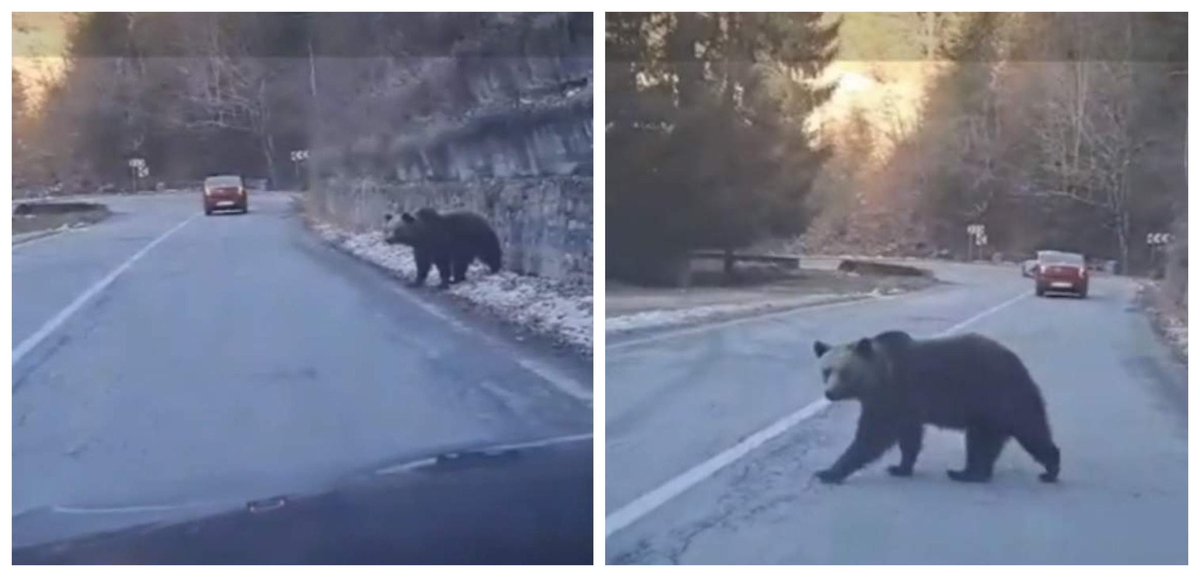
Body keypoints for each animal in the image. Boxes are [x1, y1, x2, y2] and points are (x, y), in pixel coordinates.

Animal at [811, 330, 1060, 485]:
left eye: (844, 372)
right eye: (826, 371)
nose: (830, 393)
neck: (880, 376)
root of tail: (1020, 364)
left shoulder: (893, 395)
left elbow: (872, 436)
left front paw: (828, 472)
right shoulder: (905, 407)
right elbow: (909, 437)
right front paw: (900, 467)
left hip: (997, 396)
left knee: (1027, 431)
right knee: (987, 441)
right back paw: (968, 472)